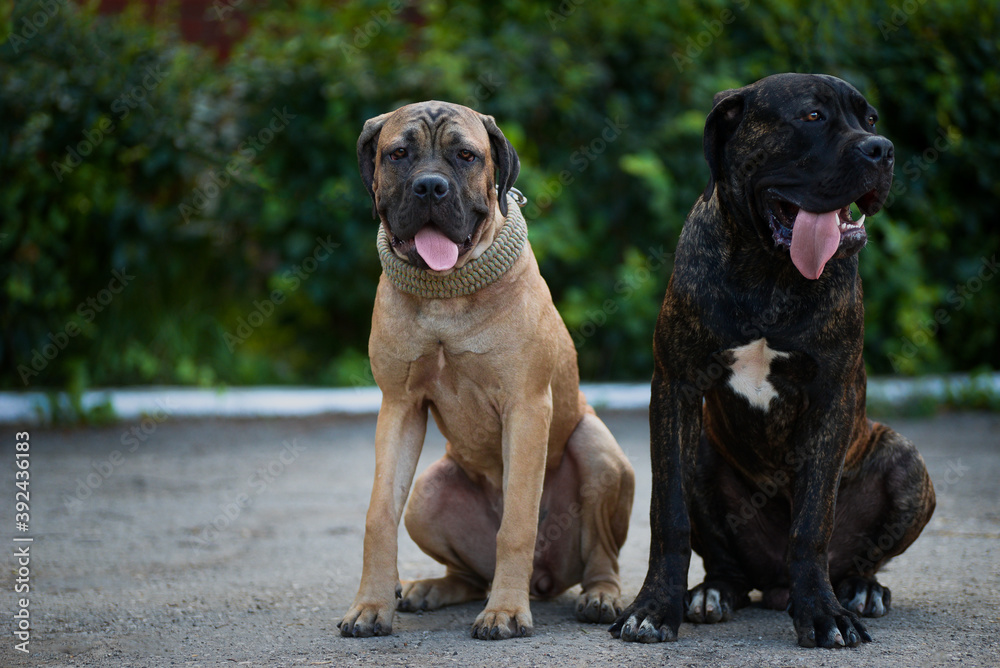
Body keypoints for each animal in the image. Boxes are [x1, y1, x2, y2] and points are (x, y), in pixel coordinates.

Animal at [336, 102, 632, 640]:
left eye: (466, 155)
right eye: (398, 154)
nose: (430, 187)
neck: (445, 296)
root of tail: (546, 577)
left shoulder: (527, 407)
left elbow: (516, 523)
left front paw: (506, 612)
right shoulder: (399, 406)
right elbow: (378, 514)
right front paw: (370, 605)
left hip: (598, 451)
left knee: (602, 557)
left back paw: (600, 596)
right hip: (428, 495)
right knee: (472, 574)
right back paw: (430, 589)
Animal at [608, 72, 936, 648]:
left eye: (870, 120)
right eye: (812, 117)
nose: (882, 148)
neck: (769, 270)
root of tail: (775, 586)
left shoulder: (831, 396)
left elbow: (812, 523)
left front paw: (824, 615)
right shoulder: (675, 388)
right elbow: (668, 515)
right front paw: (653, 608)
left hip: (906, 463)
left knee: (858, 557)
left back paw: (858, 590)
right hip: (703, 453)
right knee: (727, 566)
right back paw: (711, 594)